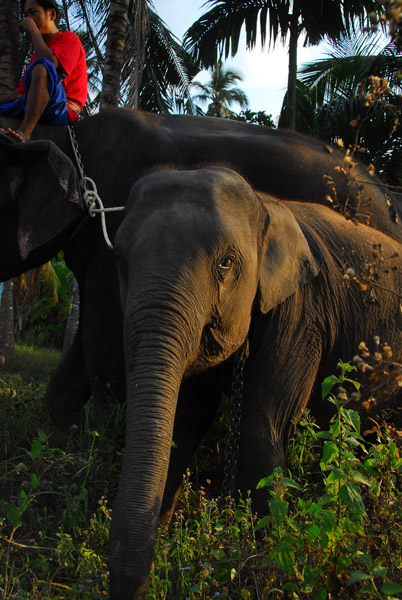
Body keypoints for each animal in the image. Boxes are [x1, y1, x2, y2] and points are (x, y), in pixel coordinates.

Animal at [110, 165, 402, 600]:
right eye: (120, 261)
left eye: (226, 263)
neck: (266, 206)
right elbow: (184, 421)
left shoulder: (301, 315)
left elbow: (259, 429)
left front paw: (260, 566)